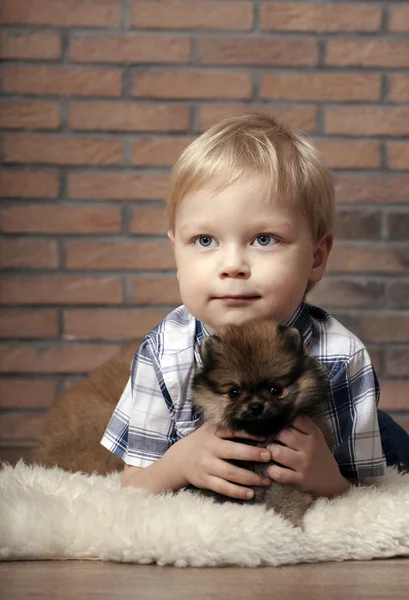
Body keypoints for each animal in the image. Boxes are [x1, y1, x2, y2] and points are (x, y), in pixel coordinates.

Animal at [190, 318, 334, 524]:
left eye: (275, 390)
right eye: (234, 392)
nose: (255, 406)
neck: (263, 436)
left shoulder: (287, 475)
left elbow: (285, 496)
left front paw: (286, 521)